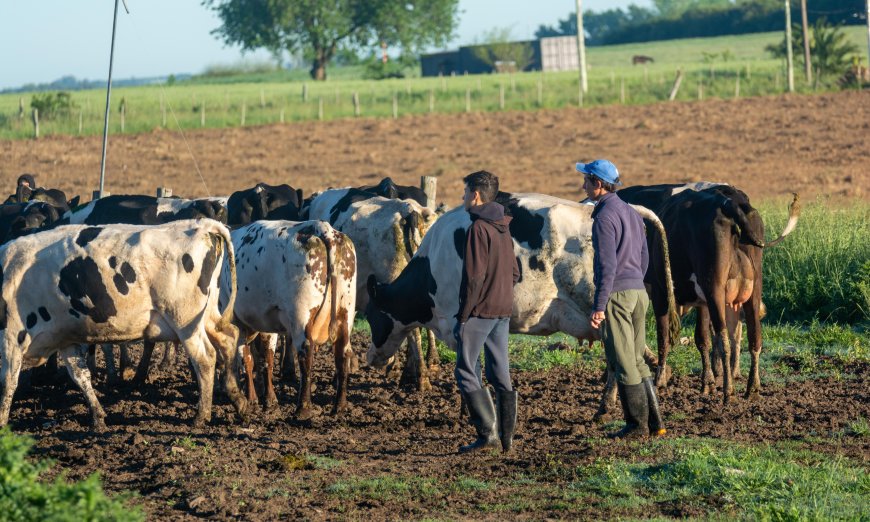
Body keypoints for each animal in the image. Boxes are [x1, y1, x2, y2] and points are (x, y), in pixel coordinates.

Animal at [0, 218, 249, 426]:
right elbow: (81, 375)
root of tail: (202, 224)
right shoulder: (64, 338)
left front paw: (2, 424)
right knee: (228, 337)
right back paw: (239, 399)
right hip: (207, 315)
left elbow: (7, 383)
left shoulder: (11, 338)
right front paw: (98, 416)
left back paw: (201, 416)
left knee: (205, 358)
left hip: (185, 319)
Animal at [221, 219, 358, 418]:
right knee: (342, 353)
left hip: (302, 315)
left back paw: (303, 408)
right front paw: (269, 400)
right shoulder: (266, 323)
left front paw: (252, 400)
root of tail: (321, 227)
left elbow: (248, 359)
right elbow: (266, 359)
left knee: (306, 354)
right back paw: (339, 407)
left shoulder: (236, 322)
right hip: (345, 313)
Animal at [364, 193, 676, 416]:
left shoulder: (458, 323)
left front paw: (468, 410)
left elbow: (468, 368)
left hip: (600, 311)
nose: (370, 358)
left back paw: (606, 406)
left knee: (621, 358)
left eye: (371, 316)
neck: (433, 265)